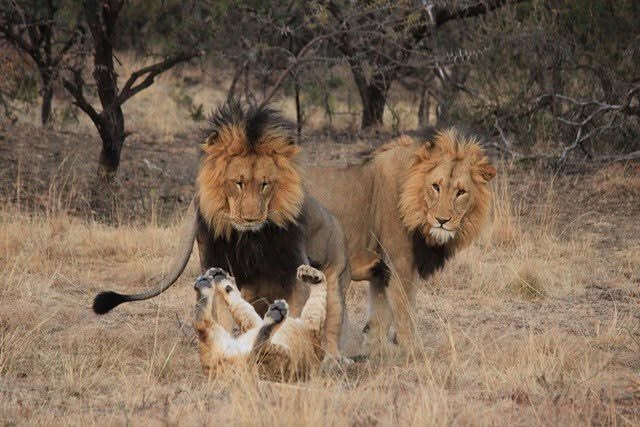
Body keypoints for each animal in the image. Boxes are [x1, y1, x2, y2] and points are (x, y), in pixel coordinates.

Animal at [93, 100, 351, 361]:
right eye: (238, 183)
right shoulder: (220, 267)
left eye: (265, 184)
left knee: (331, 323)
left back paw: (335, 358)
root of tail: (337, 223)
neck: (248, 239)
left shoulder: (293, 272)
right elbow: (226, 313)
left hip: (335, 278)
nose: (250, 218)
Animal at [306, 128, 496, 349]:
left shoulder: (380, 273)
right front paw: (412, 350)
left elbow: (378, 322)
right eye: (435, 187)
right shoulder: (399, 264)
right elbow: (406, 314)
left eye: (461, 192)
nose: (442, 220)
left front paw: (376, 351)